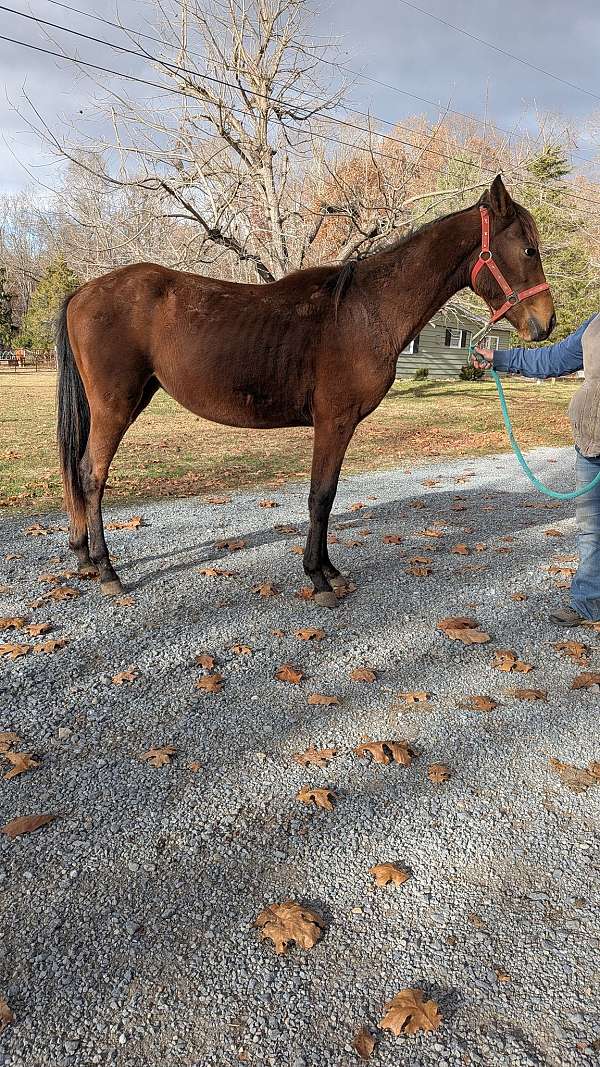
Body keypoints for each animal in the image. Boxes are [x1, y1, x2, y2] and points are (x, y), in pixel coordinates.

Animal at [56, 175, 555, 605]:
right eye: (528, 249)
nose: (546, 323)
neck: (364, 311)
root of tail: (84, 291)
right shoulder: (334, 422)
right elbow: (322, 496)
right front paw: (318, 578)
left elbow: (327, 497)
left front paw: (330, 570)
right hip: (115, 406)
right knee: (91, 475)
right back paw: (106, 570)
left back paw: (84, 558)